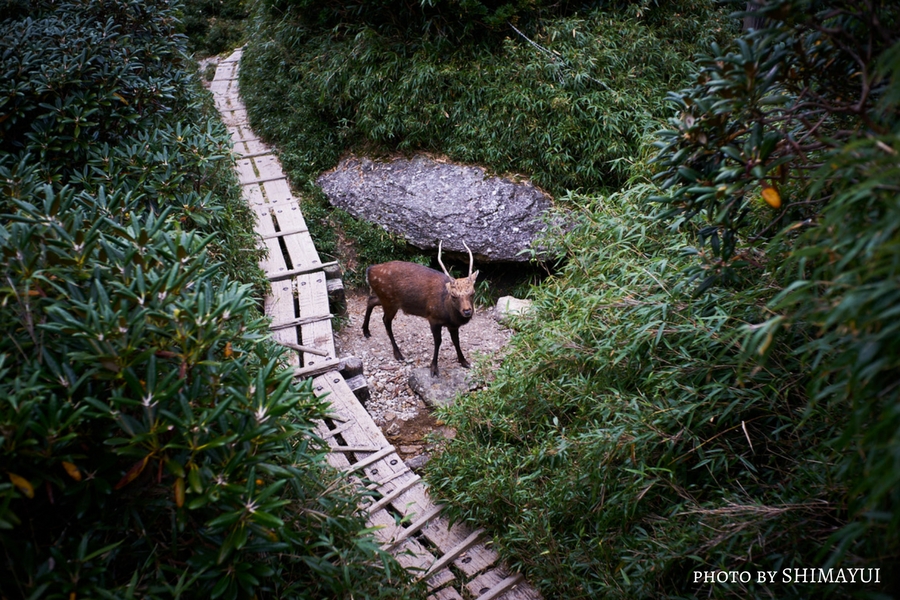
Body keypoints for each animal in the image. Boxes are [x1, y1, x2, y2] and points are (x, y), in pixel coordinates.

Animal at [364, 241, 482, 378]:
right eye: (453, 295)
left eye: (473, 293)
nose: (467, 311)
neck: (448, 314)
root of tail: (369, 270)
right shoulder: (433, 318)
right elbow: (438, 341)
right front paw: (434, 369)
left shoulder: (453, 325)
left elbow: (456, 341)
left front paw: (464, 362)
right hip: (389, 301)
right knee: (385, 320)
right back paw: (398, 354)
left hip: (385, 298)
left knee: (371, 300)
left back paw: (366, 331)